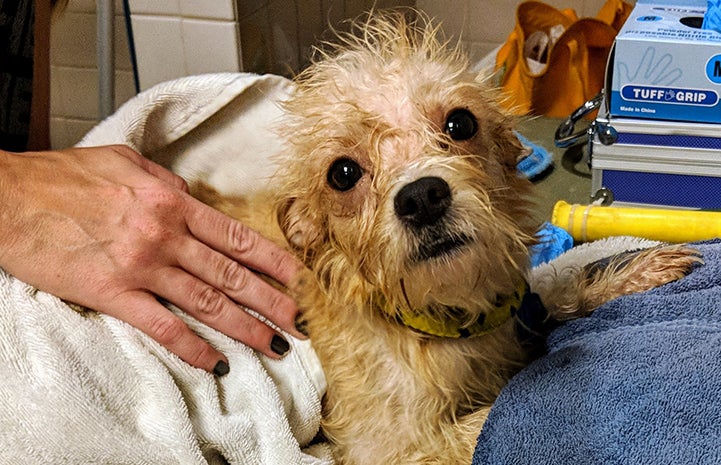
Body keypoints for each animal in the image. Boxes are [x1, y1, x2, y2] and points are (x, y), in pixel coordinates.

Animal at [194, 8, 700, 464]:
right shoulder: (385, 447)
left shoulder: (517, 309)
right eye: (342, 173)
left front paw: (637, 271)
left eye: (460, 123)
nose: (422, 198)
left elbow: (557, 289)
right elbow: (488, 418)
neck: (446, 324)